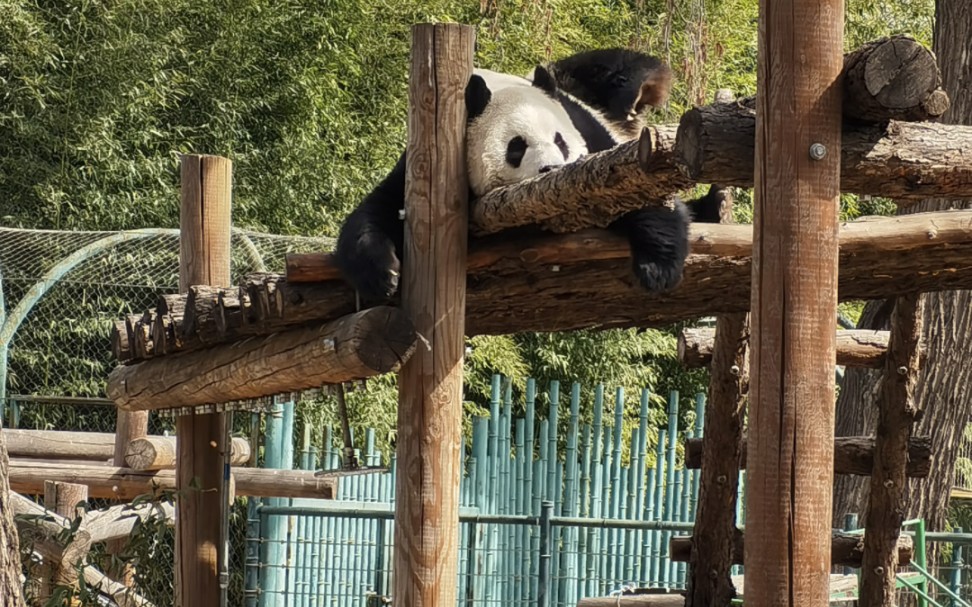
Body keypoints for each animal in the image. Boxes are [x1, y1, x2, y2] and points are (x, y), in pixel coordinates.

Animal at [334, 49, 720, 302]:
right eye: (516, 147)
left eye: (560, 141)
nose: (552, 170)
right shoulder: (430, 162)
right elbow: (377, 213)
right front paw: (384, 275)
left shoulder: (594, 146)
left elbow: (639, 192)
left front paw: (657, 269)